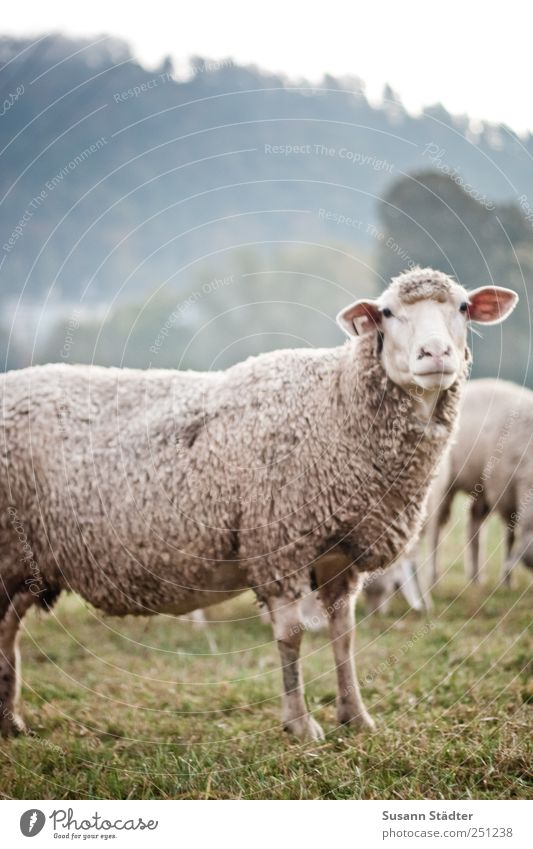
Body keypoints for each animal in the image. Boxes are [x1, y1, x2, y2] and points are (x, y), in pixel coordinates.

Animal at [0, 268, 516, 740]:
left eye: (464, 307)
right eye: (387, 313)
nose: (436, 354)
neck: (335, 406)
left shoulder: (338, 556)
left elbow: (344, 633)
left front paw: (356, 717)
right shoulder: (278, 544)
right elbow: (291, 636)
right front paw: (301, 726)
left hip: (23, 563)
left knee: (6, 631)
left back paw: (11, 722)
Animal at [426, 380, 532, 588]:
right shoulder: (504, 489)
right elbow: (510, 536)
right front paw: (507, 581)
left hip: (480, 488)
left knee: (473, 526)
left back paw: (475, 577)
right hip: (443, 484)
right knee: (436, 528)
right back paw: (434, 578)